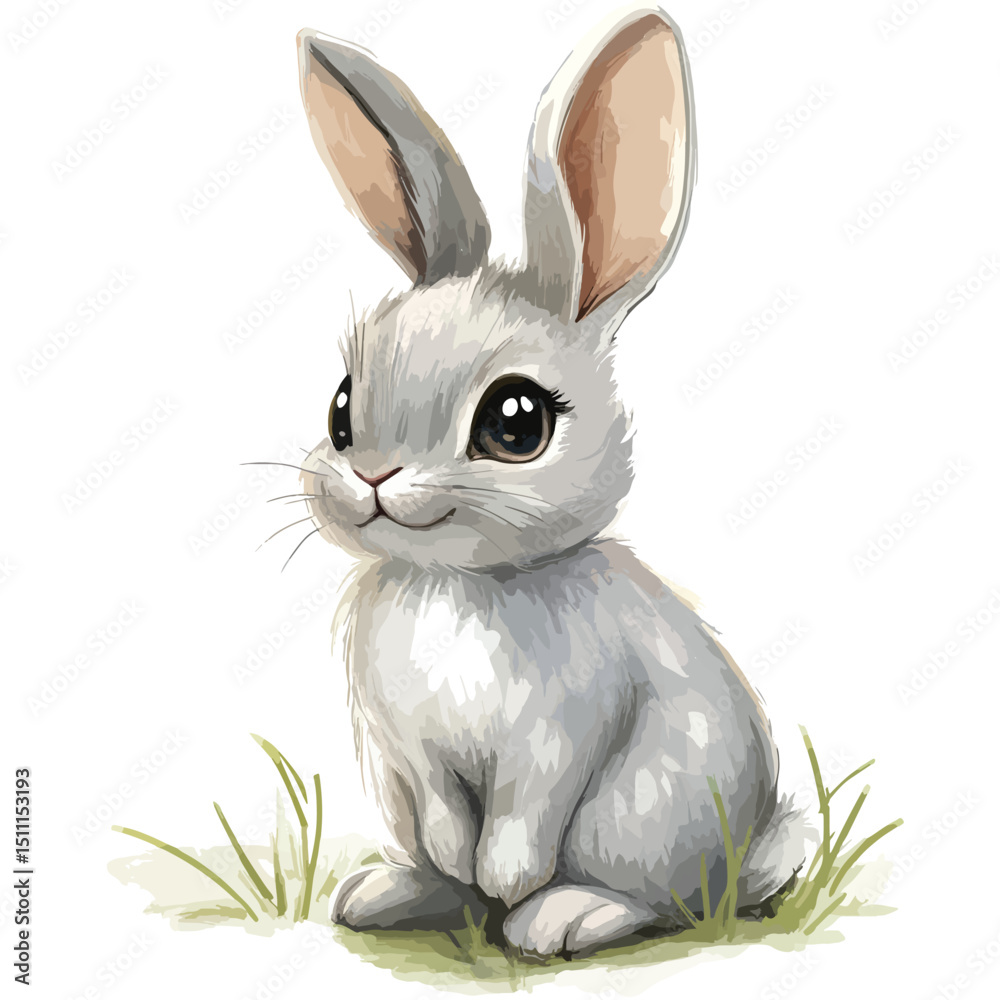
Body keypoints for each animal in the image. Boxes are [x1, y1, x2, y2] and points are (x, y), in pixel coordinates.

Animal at [292, 5, 806, 958]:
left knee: (656, 899)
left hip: (639, 819)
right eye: (341, 407)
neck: (458, 583)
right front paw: (461, 869)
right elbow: (446, 814)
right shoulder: (409, 751)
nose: (373, 474)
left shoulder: (559, 737)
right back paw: (390, 893)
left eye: (516, 422)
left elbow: (525, 815)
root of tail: (747, 854)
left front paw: (508, 880)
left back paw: (556, 917)